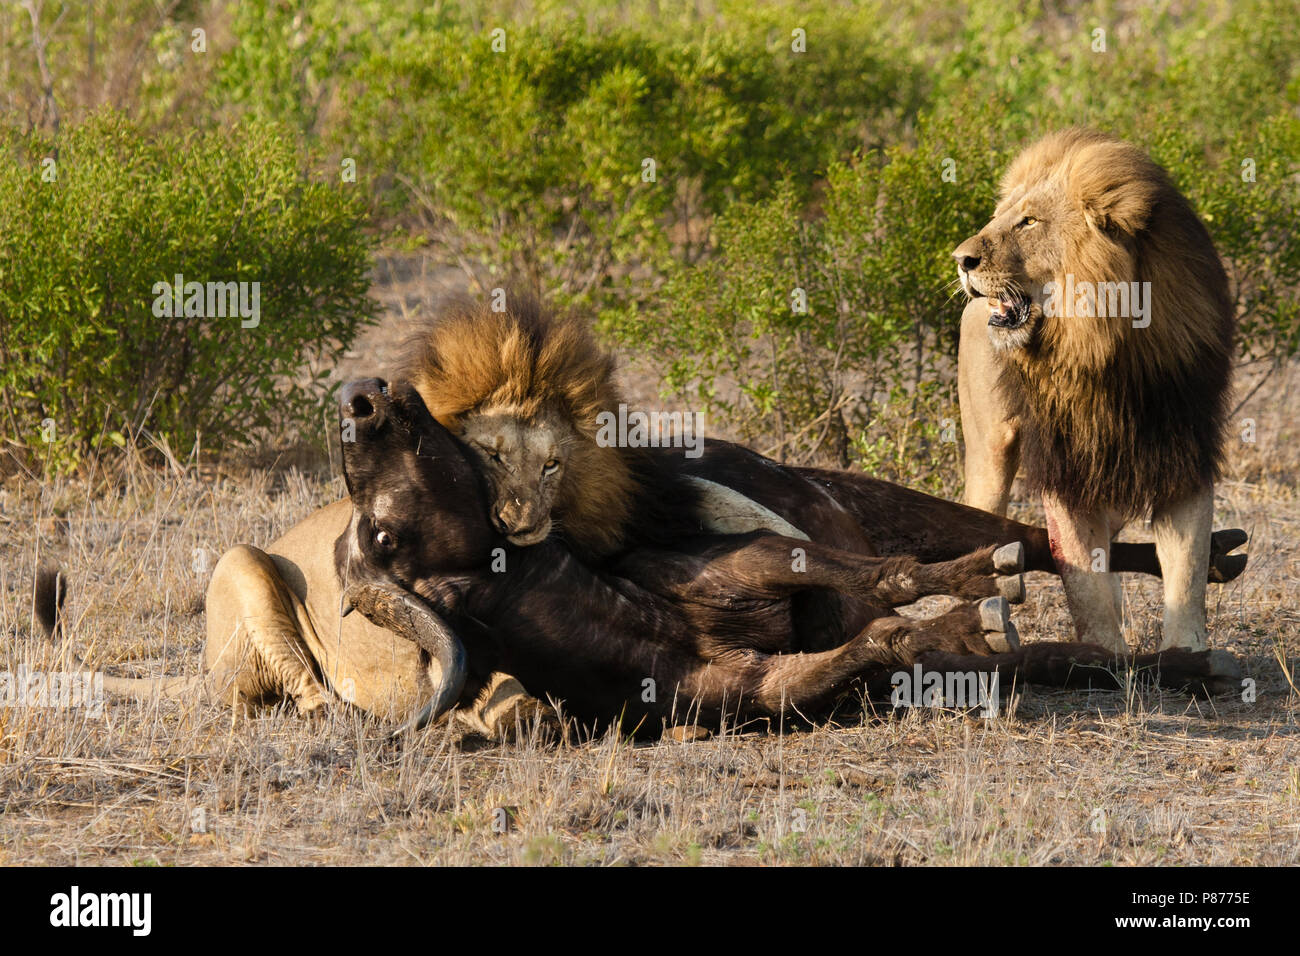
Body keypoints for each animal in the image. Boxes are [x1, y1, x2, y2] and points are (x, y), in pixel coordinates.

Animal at [956, 128, 1237, 650]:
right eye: (1000, 216)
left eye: (1028, 221)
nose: (959, 260)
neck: (1107, 348)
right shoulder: (1065, 463)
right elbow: (1081, 573)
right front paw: (1101, 652)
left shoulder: (1183, 451)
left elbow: (1186, 565)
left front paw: (1187, 651)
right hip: (990, 452)